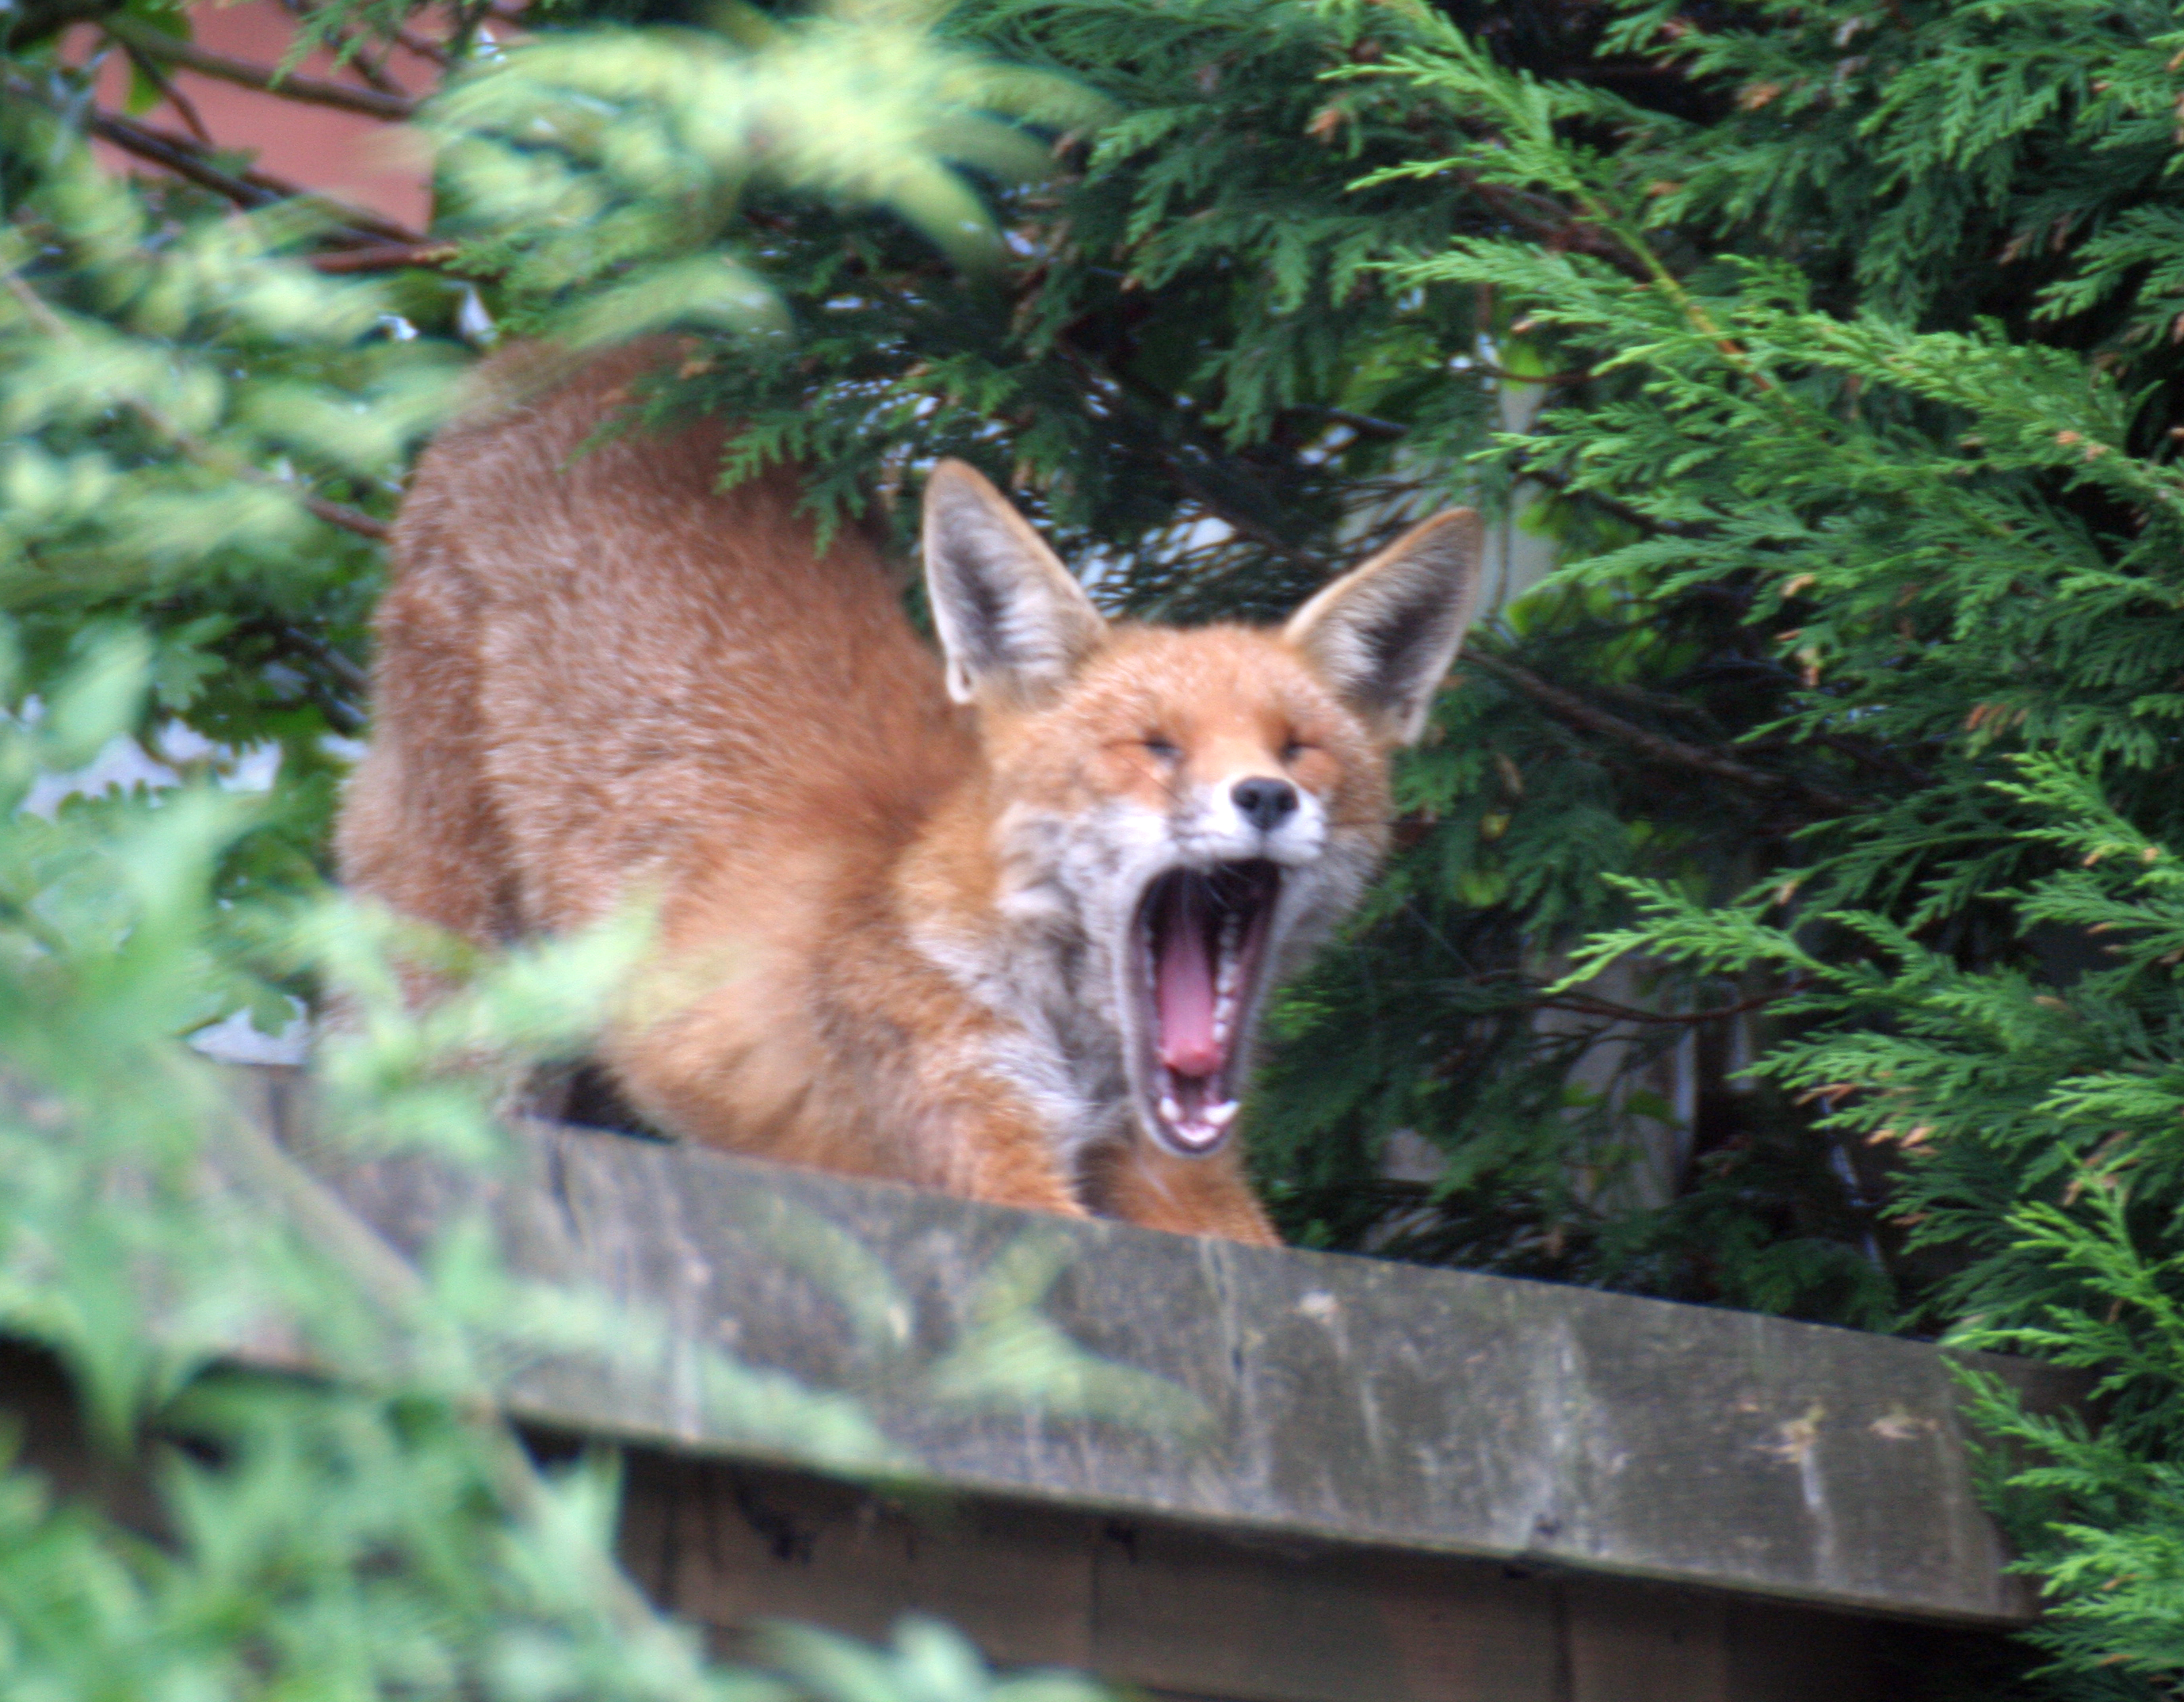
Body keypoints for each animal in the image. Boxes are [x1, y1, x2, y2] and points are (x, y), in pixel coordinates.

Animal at [336, 345, 1485, 1241]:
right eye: (1154, 746)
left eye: (1300, 750)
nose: (1264, 799)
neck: (1080, 1060)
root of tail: (597, 347)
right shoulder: (974, 1144)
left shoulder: (1175, 1177)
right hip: (462, 969)